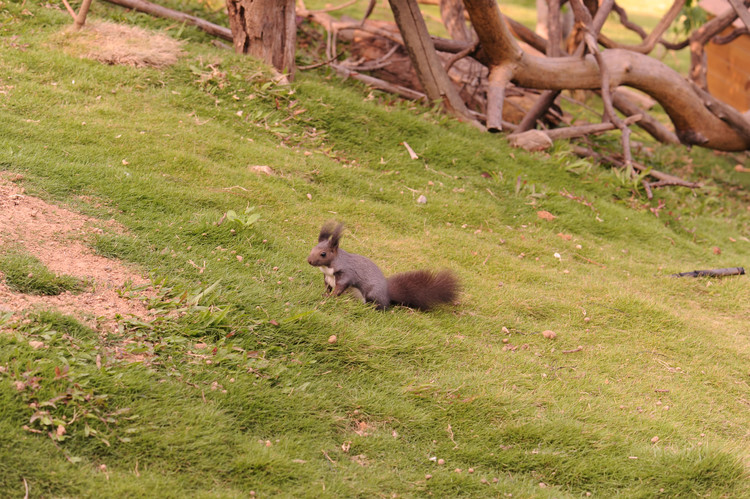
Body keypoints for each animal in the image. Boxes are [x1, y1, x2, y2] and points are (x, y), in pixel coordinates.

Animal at [306, 222, 458, 310]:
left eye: (323, 254)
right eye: (312, 248)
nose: (309, 261)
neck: (328, 268)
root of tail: (387, 293)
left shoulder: (347, 274)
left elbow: (339, 288)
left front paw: (330, 297)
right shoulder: (327, 277)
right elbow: (328, 287)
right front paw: (325, 294)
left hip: (372, 294)